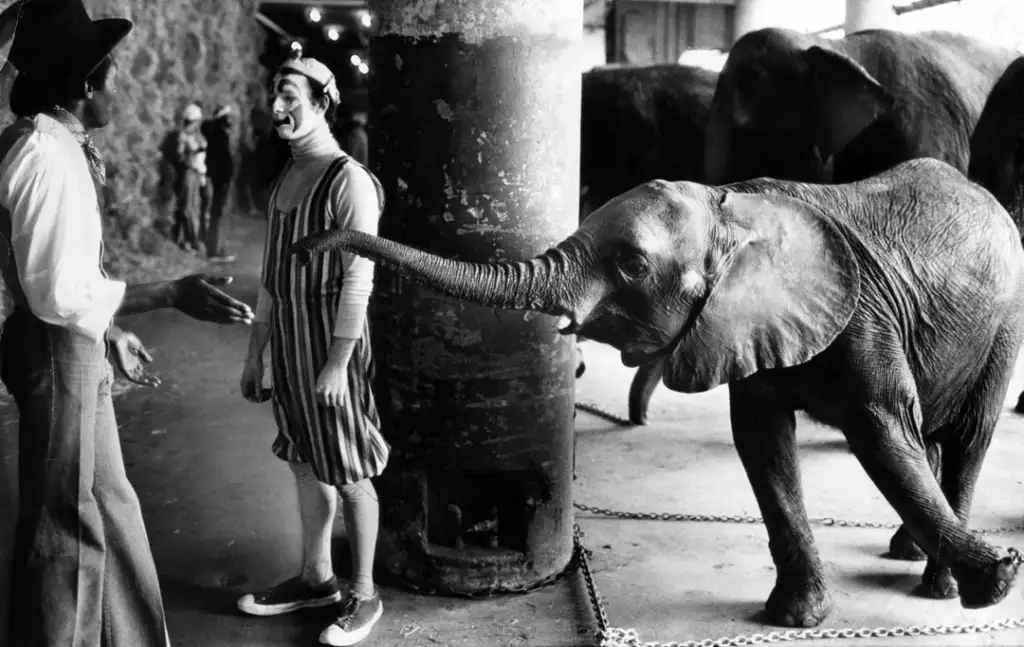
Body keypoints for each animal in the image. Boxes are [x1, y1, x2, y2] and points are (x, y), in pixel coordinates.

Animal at [288, 159, 1024, 630]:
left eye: (634, 265)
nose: (306, 245)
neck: (735, 208)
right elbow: (762, 445)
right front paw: (793, 618)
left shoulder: (864, 319)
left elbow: (881, 434)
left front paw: (998, 580)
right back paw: (910, 554)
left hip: (1008, 320)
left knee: (968, 433)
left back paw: (939, 585)